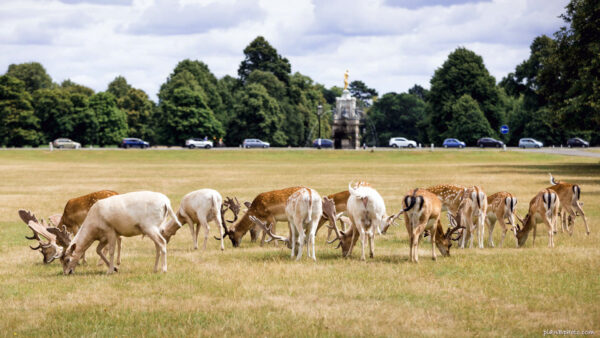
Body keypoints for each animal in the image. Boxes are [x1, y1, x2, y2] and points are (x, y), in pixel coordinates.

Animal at [51, 190, 180, 274]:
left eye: (67, 259)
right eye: (61, 261)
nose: (67, 272)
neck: (93, 226)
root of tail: (166, 203)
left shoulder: (110, 230)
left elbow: (111, 250)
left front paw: (110, 271)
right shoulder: (103, 237)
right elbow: (98, 250)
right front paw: (115, 268)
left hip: (150, 226)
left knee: (162, 242)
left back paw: (164, 269)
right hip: (156, 227)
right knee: (158, 245)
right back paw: (155, 269)